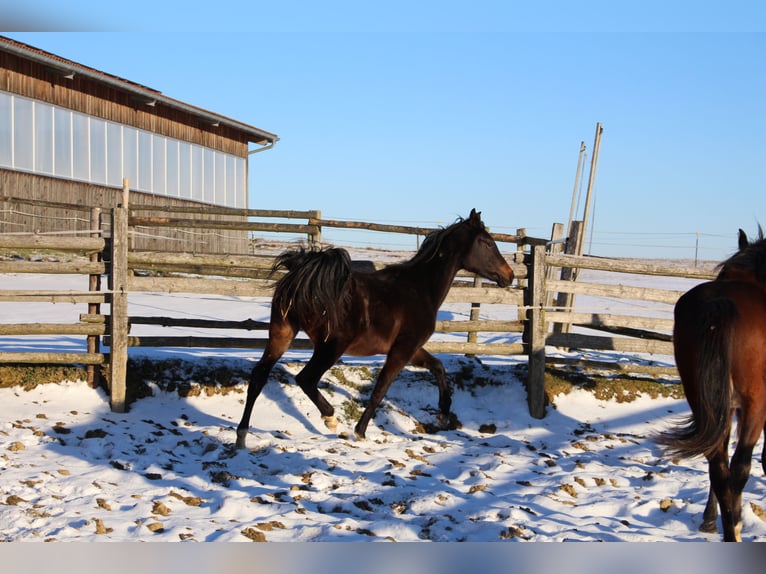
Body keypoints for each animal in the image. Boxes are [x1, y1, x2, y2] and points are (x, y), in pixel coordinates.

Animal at [236, 209, 514, 448]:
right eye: (487, 243)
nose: (509, 275)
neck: (420, 288)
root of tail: (302, 277)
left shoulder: (412, 348)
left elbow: (438, 367)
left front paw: (444, 413)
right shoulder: (402, 350)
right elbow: (381, 389)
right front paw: (360, 431)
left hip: (281, 334)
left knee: (258, 377)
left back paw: (241, 435)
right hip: (330, 346)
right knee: (306, 379)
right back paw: (331, 419)